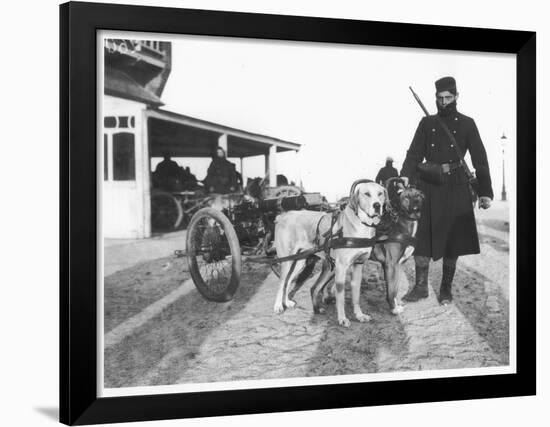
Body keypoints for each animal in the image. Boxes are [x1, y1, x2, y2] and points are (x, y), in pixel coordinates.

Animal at [272, 181, 386, 328]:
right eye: (366, 194)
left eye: (380, 193)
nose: (377, 205)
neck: (362, 224)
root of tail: (282, 216)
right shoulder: (341, 267)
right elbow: (340, 297)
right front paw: (342, 319)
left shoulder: (358, 265)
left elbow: (356, 296)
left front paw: (359, 315)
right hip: (287, 261)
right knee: (282, 282)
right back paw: (278, 306)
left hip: (299, 262)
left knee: (288, 281)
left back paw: (287, 302)